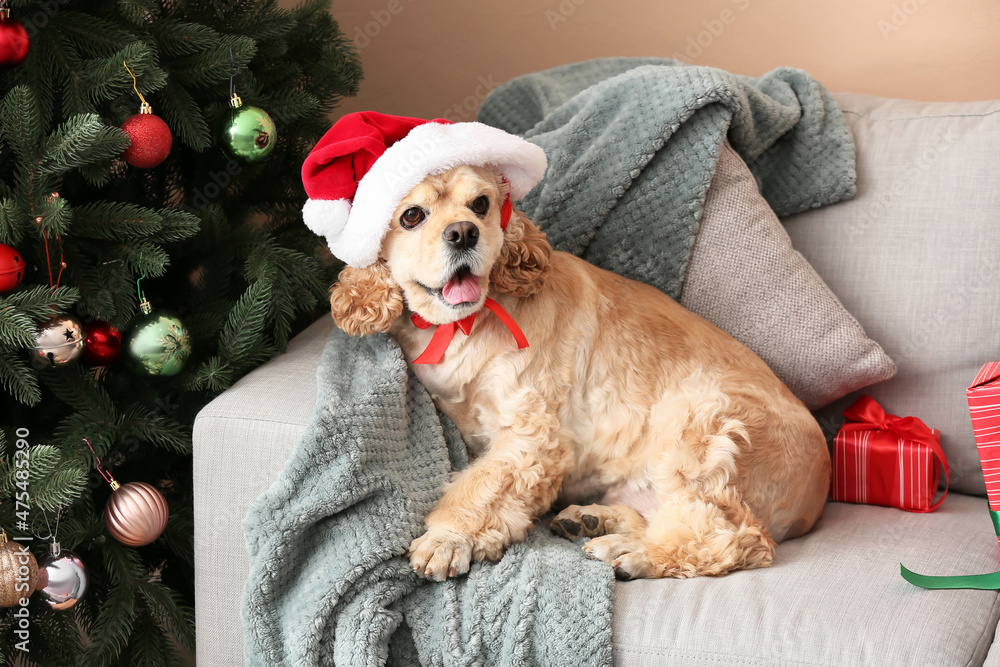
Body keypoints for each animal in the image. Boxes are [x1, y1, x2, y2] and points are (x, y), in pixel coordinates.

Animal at [326, 163, 828, 580]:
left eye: (480, 204)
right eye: (411, 216)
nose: (464, 232)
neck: (463, 326)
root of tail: (820, 491)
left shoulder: (534, 438)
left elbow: (481, 485)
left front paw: (448, 539)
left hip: (708, 425)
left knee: (729, 539)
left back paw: (629, 552)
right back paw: (594, 519)